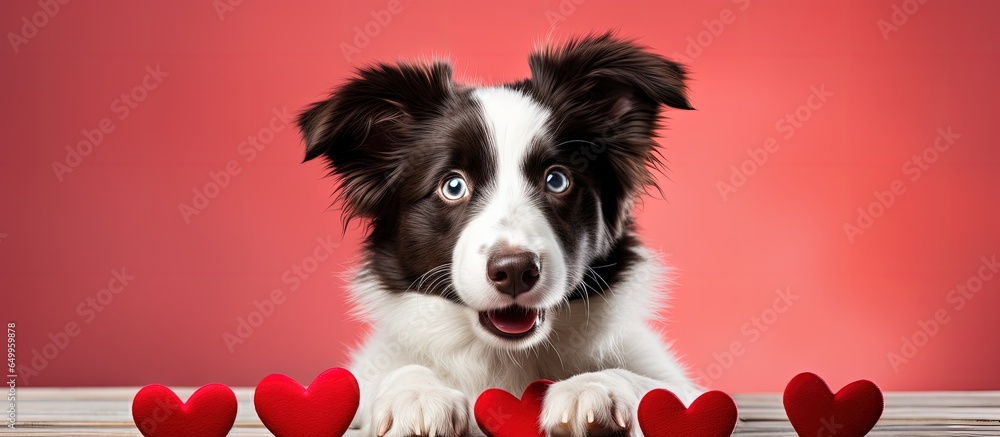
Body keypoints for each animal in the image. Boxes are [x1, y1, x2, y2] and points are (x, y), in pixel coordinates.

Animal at [298, 32, 704, 434]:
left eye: (557, 180)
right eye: (453, 186)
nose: (514, 270)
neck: (505, 358)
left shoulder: (669, 376)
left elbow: (659, 387)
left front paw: (593, 385)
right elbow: (389, 375)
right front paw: (417, 394)